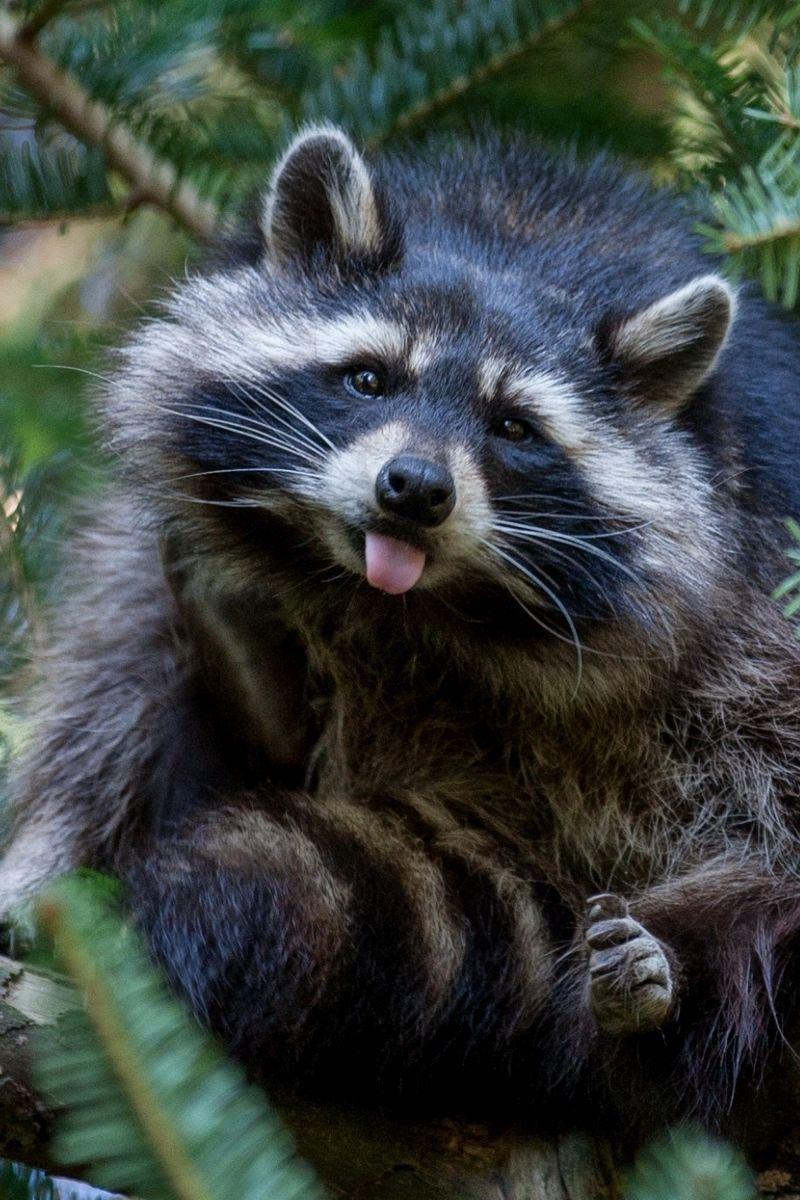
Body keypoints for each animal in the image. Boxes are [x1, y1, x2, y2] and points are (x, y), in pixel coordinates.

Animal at [4, 124, 800, 1148]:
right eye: (370, 377)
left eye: (514, 427)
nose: (416, 487)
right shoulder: (174, 527)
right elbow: (112, 680)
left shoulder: (750, 567)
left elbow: (758, 778)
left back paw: (667, 1002)